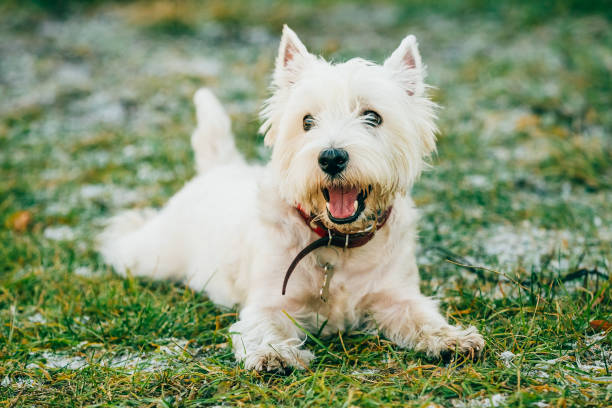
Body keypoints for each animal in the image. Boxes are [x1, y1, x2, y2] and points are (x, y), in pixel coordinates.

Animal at [99, 24, 482, 370]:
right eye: (307, 121)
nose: (331, 157)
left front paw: (453, 338)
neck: (337, 242)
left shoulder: (395, 296)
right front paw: (274, 355)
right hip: (154, 255)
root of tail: (219, 168)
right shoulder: (270, 303)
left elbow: (422, 317)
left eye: (373, 117)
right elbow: (263, 327)